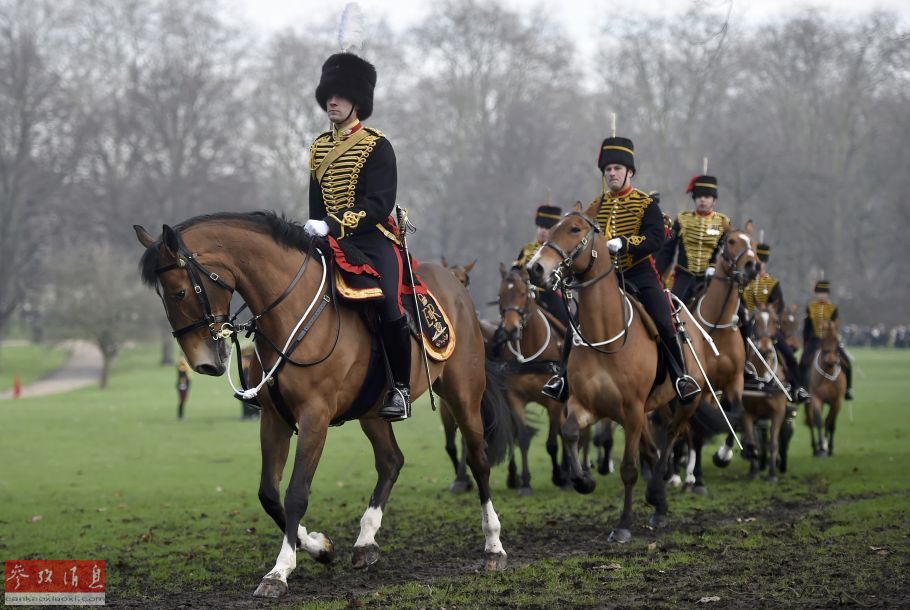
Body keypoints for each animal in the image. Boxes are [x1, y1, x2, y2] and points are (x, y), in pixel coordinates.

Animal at [139, 211, 516, 596]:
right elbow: (269, 494)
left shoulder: (314, 417)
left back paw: (493, 546)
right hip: (373, 412)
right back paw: (365, 541)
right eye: (163, 296)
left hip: (463, 394)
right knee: (391, 461)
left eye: (180, 292)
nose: (203, 363)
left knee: (478, 460)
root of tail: (455, 285)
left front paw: (280, 571)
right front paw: (319, 546)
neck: (291, 312)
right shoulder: (274, 419)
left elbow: (295, 493)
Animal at [524, 200, 736, 536]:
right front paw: (583, 481)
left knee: (671, 437)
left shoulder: (633, 411)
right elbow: (570, 432)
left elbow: (628, 468)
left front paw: (623, 524)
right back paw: (658, 505)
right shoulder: (586, 405)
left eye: (574, 229)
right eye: (554, 227)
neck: (605, 335)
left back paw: (657, 491)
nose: (535, 268)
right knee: (653, 449)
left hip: (684, 402)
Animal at [808, 320, 852, 454]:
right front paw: (821, 446)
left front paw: (828, 447)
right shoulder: (816, 399)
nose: (832, 361)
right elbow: (819, 421)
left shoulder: (837, 402)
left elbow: (830, 423)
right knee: (811, 421)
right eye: (822, 340)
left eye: (836, 340)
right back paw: (815, 446)